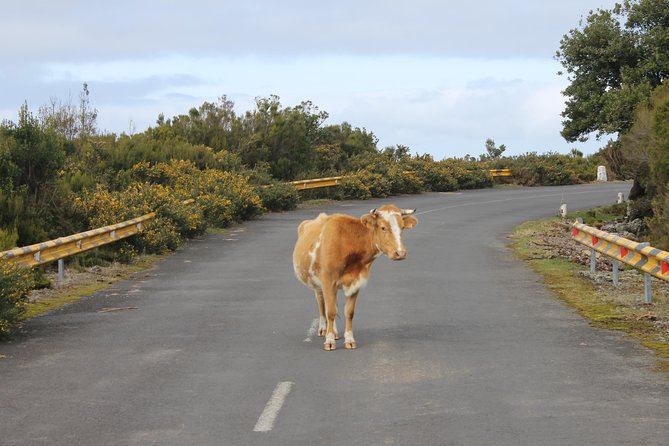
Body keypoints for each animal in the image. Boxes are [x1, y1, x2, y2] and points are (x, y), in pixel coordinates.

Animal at [292, 204, 418, 350]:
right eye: (383, 227)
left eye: (402, 227)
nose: (400, 253)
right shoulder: (327, 280)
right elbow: (330, 312)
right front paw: (329, 340)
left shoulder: (356, 281)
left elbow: (349, 312)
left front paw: (349, 339)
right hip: (316, 282)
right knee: (322, 303)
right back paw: (324, 329)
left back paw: (335, 332)